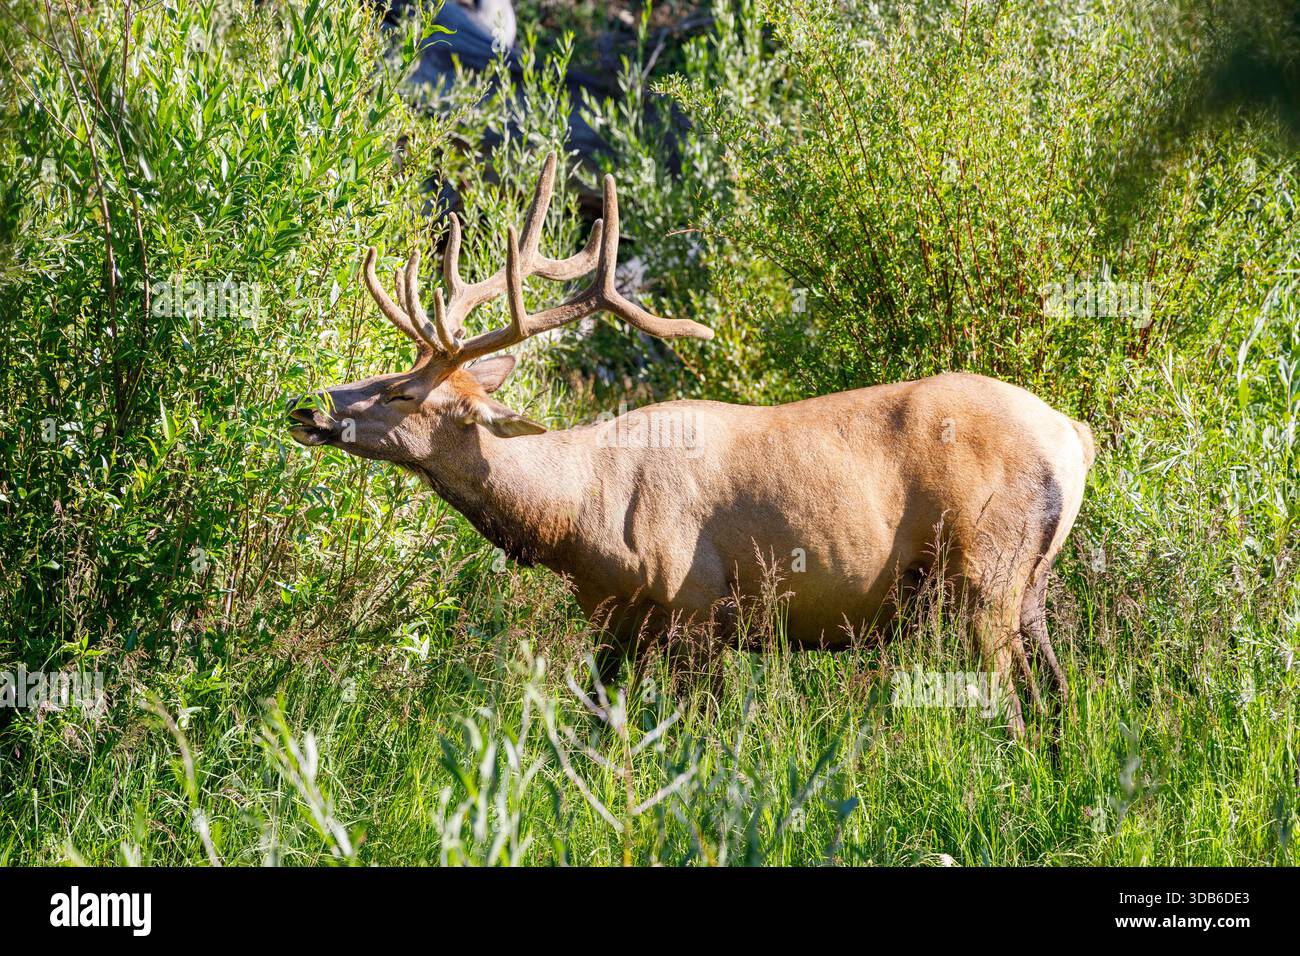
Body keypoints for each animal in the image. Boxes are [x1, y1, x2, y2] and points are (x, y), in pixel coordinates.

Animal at [288, 153, 1095, 735]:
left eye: (404, 393)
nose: (309, 408)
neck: (579, 519)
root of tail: (1076, 438)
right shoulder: (616, 618)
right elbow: (595, 724)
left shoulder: (697, 605)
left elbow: (696, 737)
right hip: (1029, 584)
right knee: (1060, 695)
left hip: (986, 571)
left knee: (1014, 708)